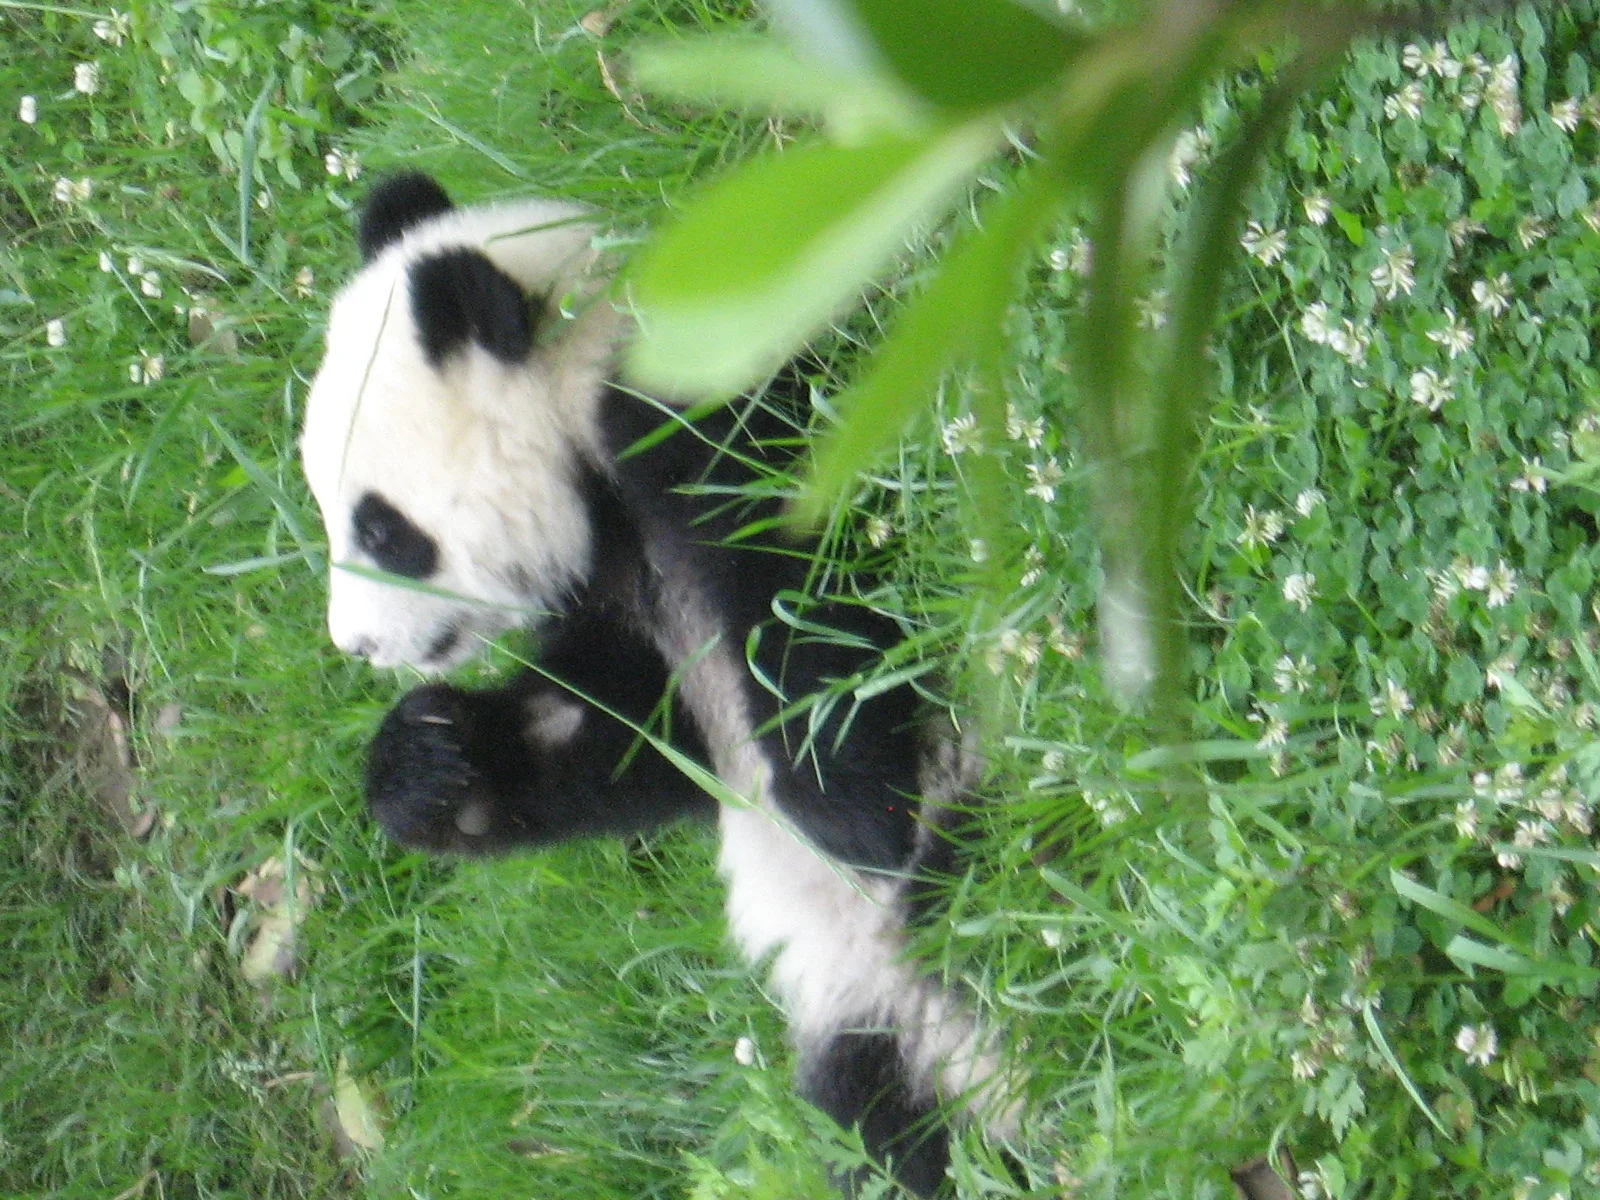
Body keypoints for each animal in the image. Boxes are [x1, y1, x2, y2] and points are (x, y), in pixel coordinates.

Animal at [300, 172, 1015, 1196]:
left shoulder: (682, 404)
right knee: (878, 1121)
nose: (355, 643)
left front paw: (841, 801)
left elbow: (794, 572)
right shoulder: (621, 624)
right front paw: (426, 763)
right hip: (867, 1014)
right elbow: (616, 739)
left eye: (383, 528)